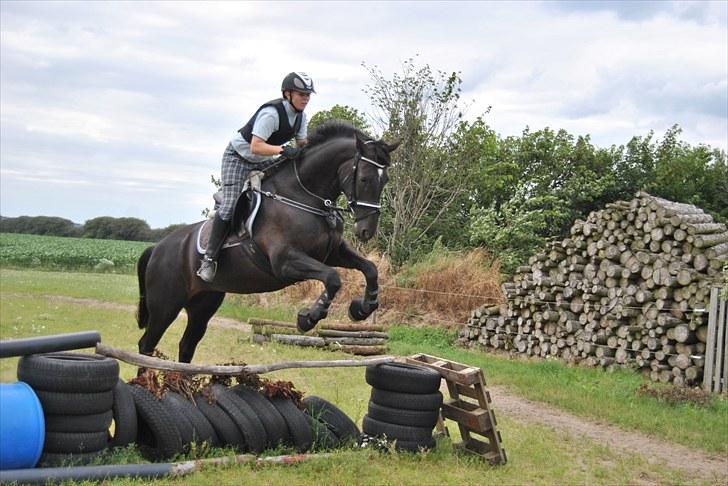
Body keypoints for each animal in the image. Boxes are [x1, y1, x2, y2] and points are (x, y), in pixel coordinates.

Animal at [135, 122, 398, 364]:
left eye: (385, 180)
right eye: (364, 179)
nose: (366, 230)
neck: (305, 197)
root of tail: (157, 248)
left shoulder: (333, 253)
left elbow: (369, 268)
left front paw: (362, 308)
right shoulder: (284, 262)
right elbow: (333, 278)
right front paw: (309, 317)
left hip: (203, 304)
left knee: (187, 345)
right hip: (166, 306)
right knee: (147, 344)